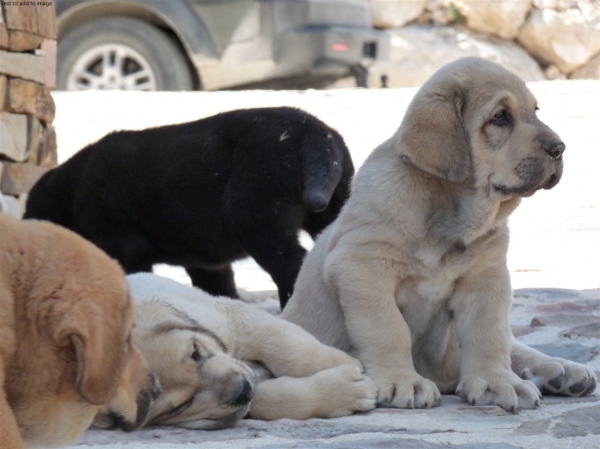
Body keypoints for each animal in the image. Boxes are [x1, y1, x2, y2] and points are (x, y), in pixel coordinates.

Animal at [24, 107, 352, 306]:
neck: (69, 192)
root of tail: (314, 132)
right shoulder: (205, 262)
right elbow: (219, 289)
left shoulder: (122, 244)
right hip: (335, 203)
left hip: (255, 217)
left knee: (292, 264)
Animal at [129, 272, 378, 428]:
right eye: (179, 406)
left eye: (196, 353)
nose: (242, 391)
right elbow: (275, 398)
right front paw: (346, 390)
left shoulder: (237, 319)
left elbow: (294, 351)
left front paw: (344, 361)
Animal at [280, 57, 596, 412]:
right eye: (500, 117)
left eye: (535, 111)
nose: (560, 148)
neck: (451, 214)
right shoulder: (361, 267)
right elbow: (387, 328)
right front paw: (402, 380)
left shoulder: (487, 277)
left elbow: (489, 334)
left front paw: (496, 381)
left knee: (513, 344)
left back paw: (561, 371)